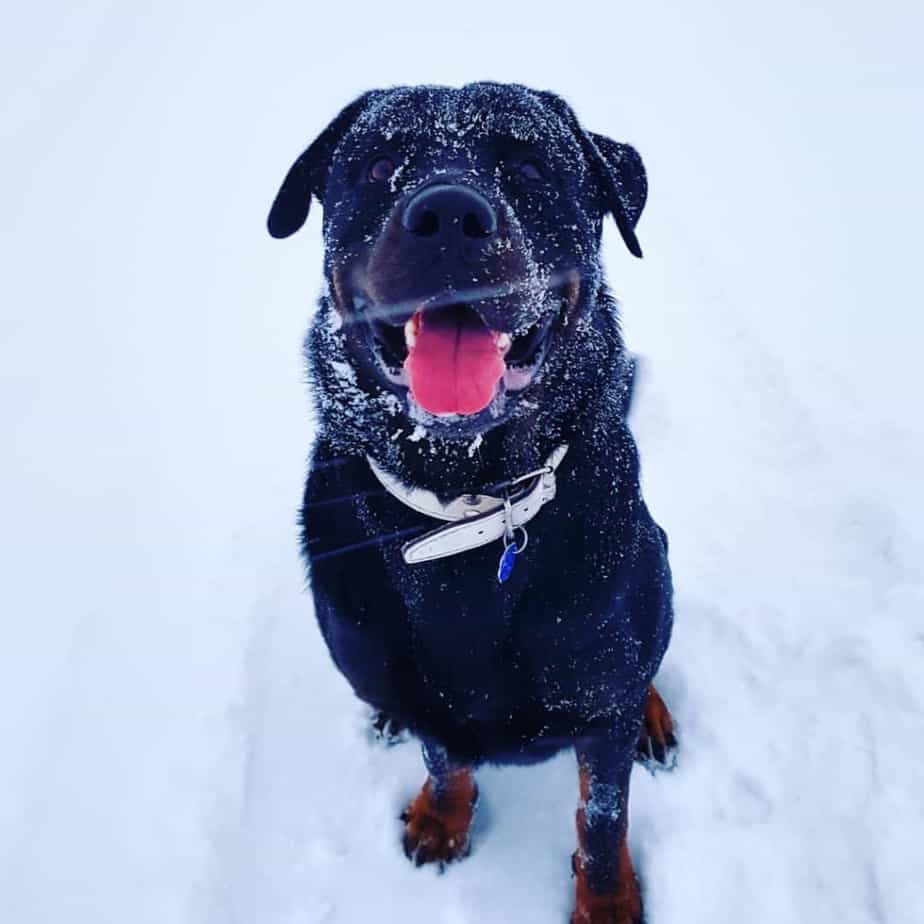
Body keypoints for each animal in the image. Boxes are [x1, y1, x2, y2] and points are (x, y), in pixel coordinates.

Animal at [266, 83, 672, 920]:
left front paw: (608, 901)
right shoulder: (426, 695)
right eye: (378, 162)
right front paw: (442, 818)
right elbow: (445, 758)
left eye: (531, 164)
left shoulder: (598, 704)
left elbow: (601, 815)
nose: (449, 214)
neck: (469, 510)